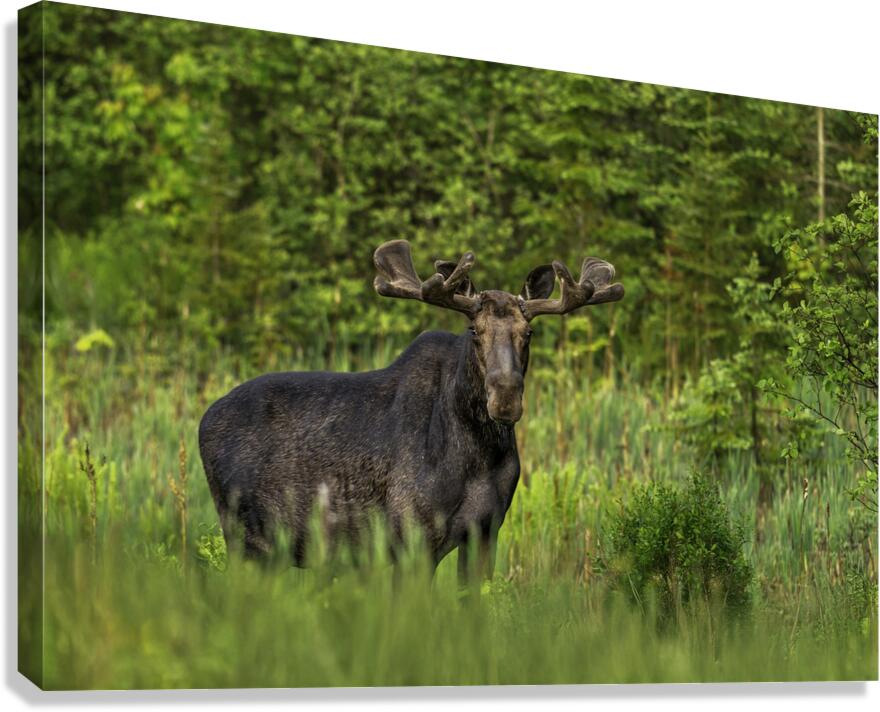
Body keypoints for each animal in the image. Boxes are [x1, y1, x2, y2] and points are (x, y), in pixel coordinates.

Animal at [198, 239, 624, 582]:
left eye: (529, 332)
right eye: (474, 330)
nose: (505, 397)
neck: (478, 457)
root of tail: (202, 421)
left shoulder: (486, 532)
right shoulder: (411, 536)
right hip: (246, 537)